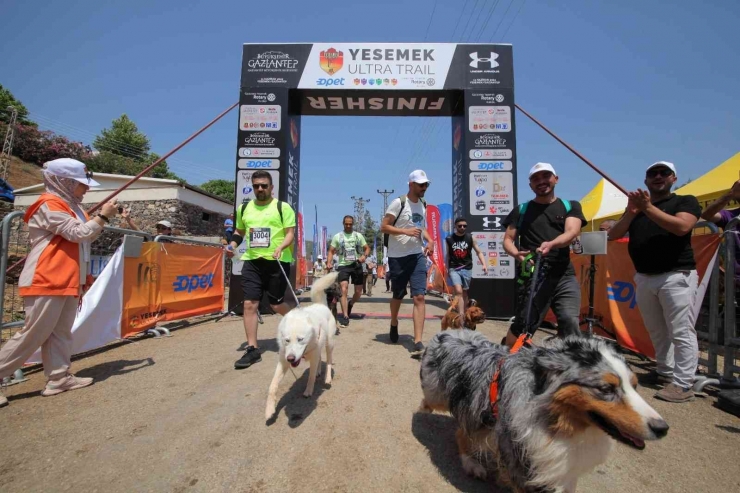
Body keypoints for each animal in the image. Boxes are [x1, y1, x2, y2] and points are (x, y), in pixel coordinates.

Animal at [266, 270, 338, 418]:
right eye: (287, 340)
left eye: (300, 339)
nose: (291, 358)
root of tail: (321, 305)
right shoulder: (283, 361)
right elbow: (272, 386)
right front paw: (269, 410)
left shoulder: (312, 354)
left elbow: (310, 377)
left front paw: (308, 391)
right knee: (320, 359)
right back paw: (319, 371)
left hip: (329, 344)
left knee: (328, 361)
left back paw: (327, 378)